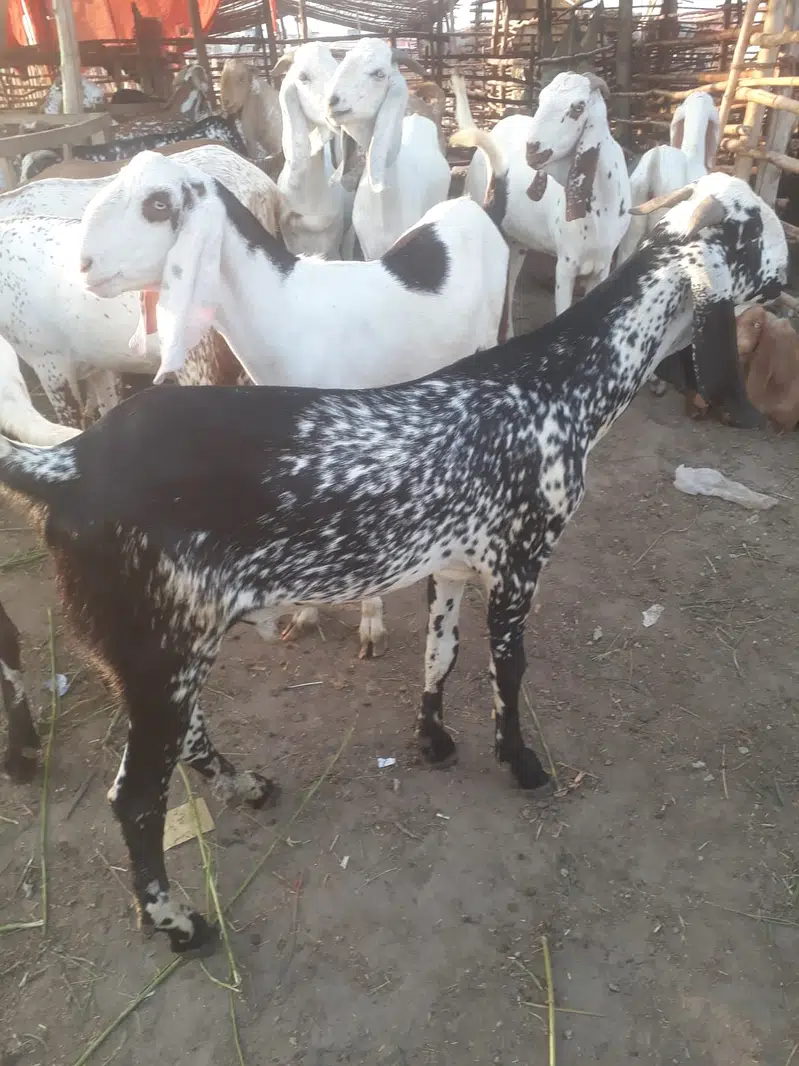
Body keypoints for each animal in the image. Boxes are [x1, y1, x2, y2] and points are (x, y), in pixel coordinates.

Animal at [79, 144, 510, 656]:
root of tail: (483, 208)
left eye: (158, 204)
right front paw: (305, 614)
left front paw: (370, 623)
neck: (285, 309)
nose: (83, 264)